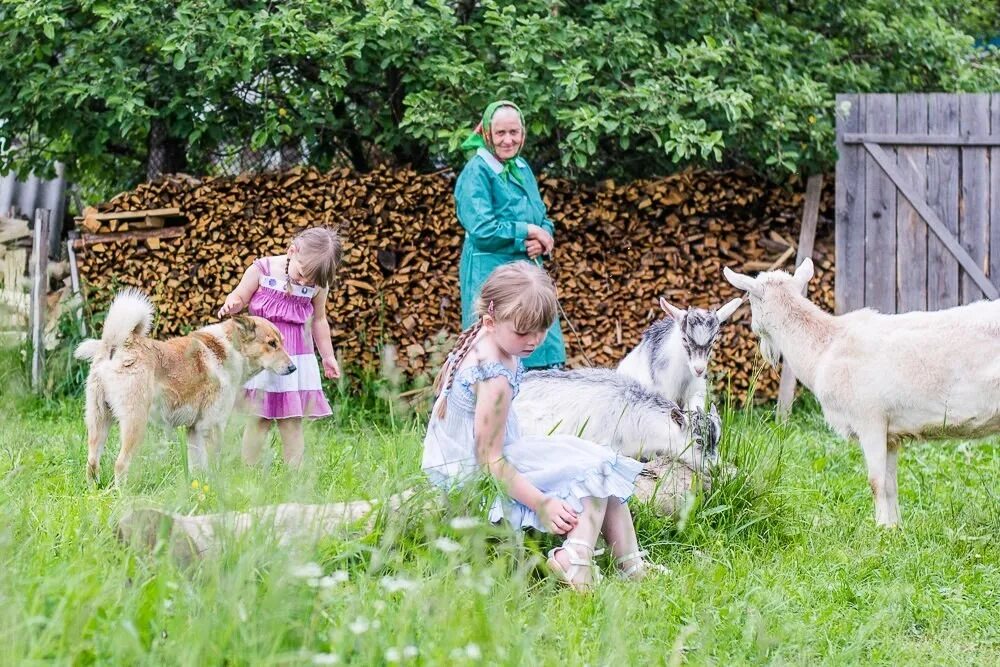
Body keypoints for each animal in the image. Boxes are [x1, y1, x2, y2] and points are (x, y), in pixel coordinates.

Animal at [74, 290, 294, 486]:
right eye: (271, 344)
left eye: (282, 343)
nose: (293, 368)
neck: (231, 350)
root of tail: (117, 345)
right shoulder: (212, 425)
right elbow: (214, 463)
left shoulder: (194, 429)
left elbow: (197, 466)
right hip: (134, 423)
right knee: (120, 464)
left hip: (99, 421)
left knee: (91, 463)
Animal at [724, 258, 1000, 528]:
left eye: (749, 298)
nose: (764, 348)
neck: (825, 347)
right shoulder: (891, 434)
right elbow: (890, 485)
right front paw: (895, 529)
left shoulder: (870, 420)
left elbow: (875, 482)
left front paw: (880, 529)